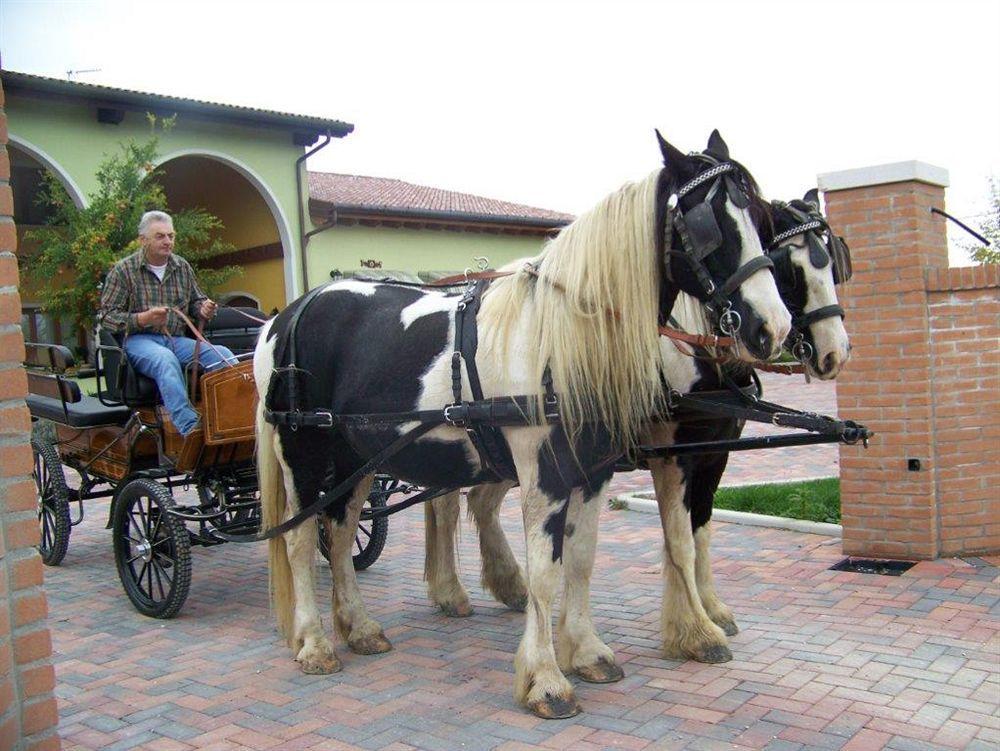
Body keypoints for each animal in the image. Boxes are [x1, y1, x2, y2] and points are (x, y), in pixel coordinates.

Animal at [256, 132, 788, 720]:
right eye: (707, 221)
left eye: (759, 217)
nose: (773, 327)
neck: (562, 338)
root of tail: (286, 318)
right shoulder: (545, 475)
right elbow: (544, 571)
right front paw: (546, 679)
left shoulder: (592, 472)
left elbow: (580, 560)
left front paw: (588, 652)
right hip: (304, 456)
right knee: (301, 541)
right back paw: (314, 643)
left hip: (357, 462)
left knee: (341, 530)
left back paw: (360, 628)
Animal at [422, 189, 852, 664]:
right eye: (788, 267)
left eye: (832, 263)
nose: (834, 353)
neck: (691, 358)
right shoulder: (670, 459)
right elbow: (678, 538)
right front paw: (695, 630)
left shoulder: (713, 456)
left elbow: (701, 531)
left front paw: (711, 609)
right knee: (445, 505)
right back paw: (450, 591)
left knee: (481, 502)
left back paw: (508, 585)